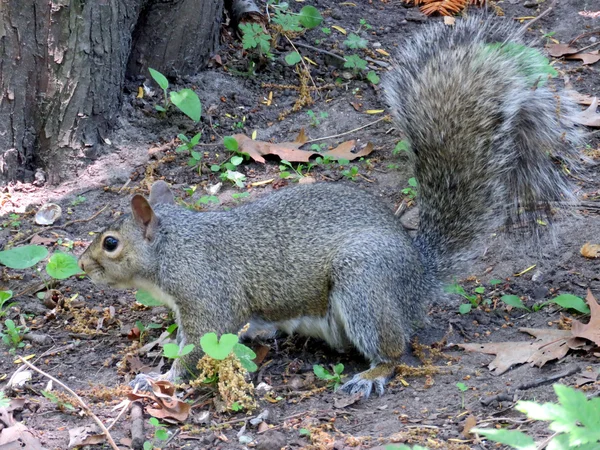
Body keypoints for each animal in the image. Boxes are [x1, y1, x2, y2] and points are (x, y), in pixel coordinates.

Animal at [78, 16, 580, 398]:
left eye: (110, 243)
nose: (81, 265)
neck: (173, 247)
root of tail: (418, 277)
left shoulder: (207, 298)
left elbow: (200, 348)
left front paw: (158, 380)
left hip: (364, 283)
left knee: (394, 350)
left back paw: (372, 374)